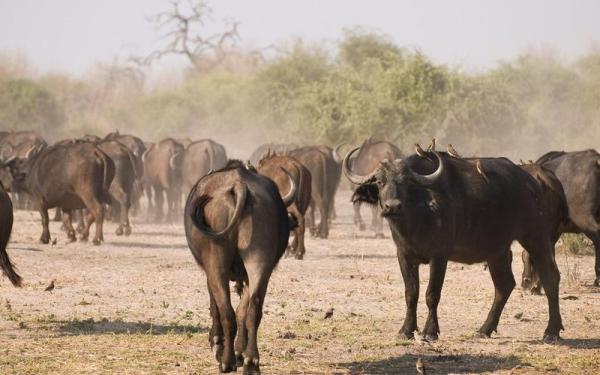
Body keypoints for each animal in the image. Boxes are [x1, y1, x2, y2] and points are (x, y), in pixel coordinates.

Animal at [183, 160, 296, 374]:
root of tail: (239, 186)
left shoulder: (209, 273)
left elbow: (216, 305)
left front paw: (217, 342)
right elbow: (243, 310)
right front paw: (240, 351)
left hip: (215, 262)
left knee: (225, 310)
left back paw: (225, 359)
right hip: (259, 259)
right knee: (254, 307)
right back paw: (251, 361)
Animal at [344, 148, 564, 344]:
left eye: (405, 182)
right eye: (380, 182)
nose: (393, 206)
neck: (417, 216)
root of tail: (533, 182)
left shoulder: (439, 255)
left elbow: (432, 294)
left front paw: (430, 332)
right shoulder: (404, 255)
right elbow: (411, 293)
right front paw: (406, 330)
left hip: (536, 236)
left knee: (550, 277)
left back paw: (551, 331)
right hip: (497, 250)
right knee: (504, 285)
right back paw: (484, 329)